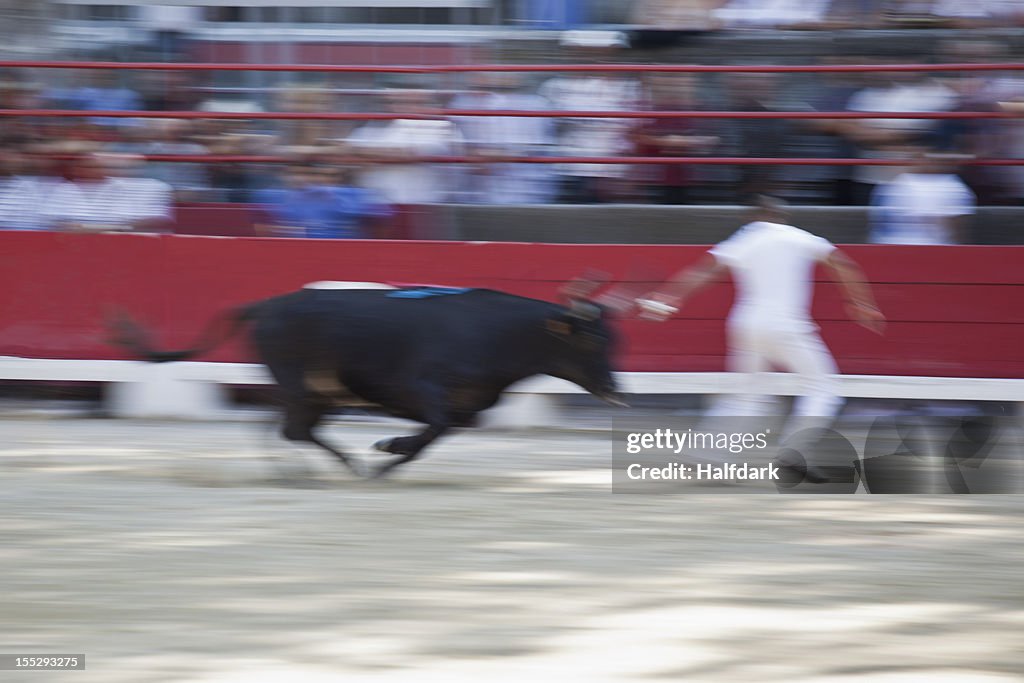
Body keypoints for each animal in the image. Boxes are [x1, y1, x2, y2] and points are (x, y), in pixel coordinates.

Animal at [112, 286, 622, 479]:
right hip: (301, 386)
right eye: (591, 341)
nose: (616, 390)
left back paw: (305, 471)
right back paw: (337, 467)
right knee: (292, 429)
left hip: (307, 391)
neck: (493, 332)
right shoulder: (423, 389)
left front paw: (388, 456)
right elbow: (432, 429)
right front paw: (385, 451)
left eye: (612, 338)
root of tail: (267, 305)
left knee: (283, 427)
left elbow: (437, 434)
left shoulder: (464, 407)